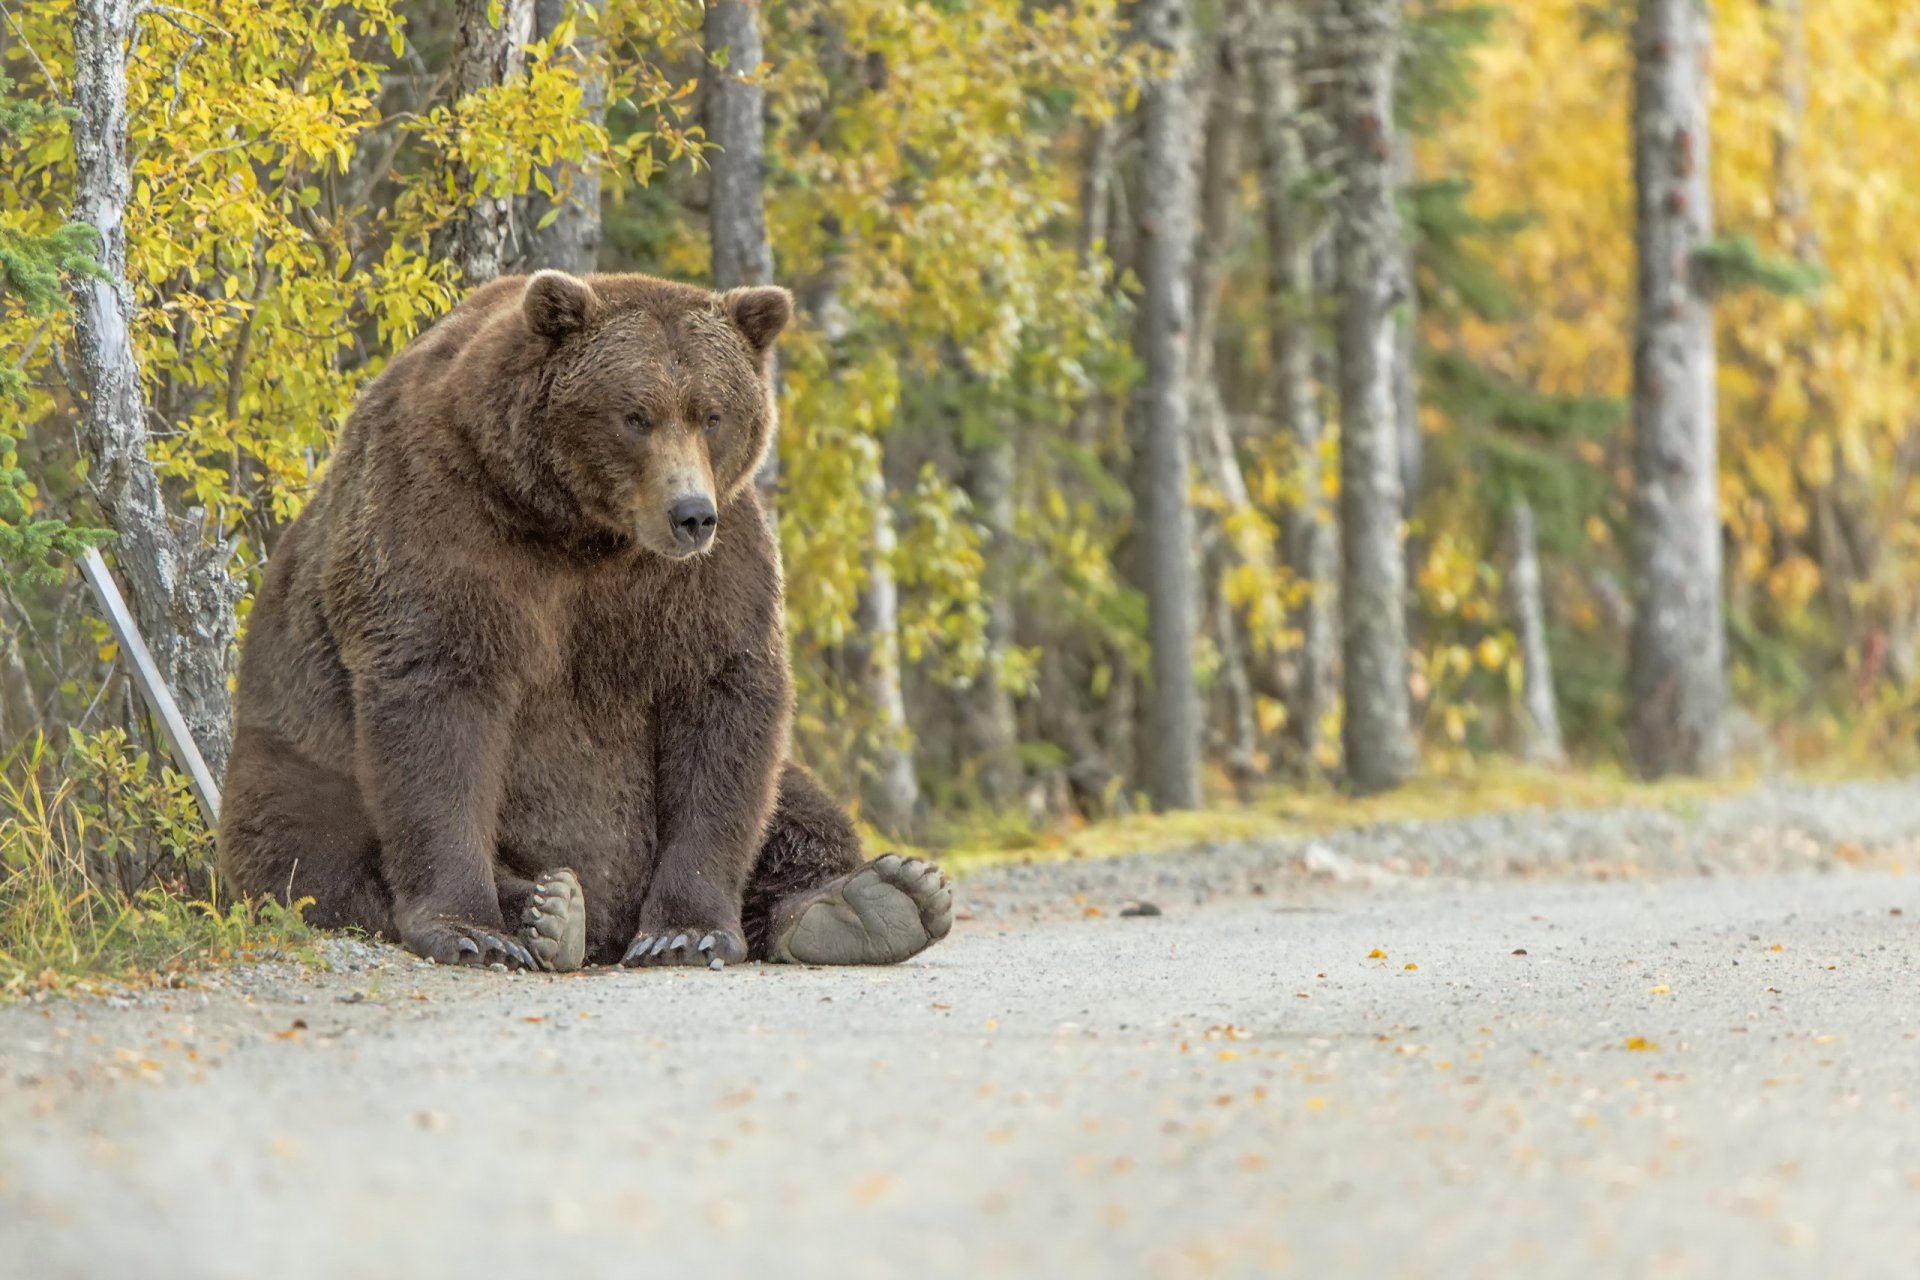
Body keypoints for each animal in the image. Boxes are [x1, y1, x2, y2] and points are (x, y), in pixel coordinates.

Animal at [217, 270, 953, 972]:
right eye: (635, 414)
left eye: (713, 413)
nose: (690, 513)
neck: (579, 530)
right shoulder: (438, 519)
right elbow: (438, 703)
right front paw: (469, 929)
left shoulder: (708, 571)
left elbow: (724, 704)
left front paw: (684, 932)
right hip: (295, 755)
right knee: (312, 847)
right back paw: (548, 909)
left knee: (797, 803)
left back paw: (873, 900)